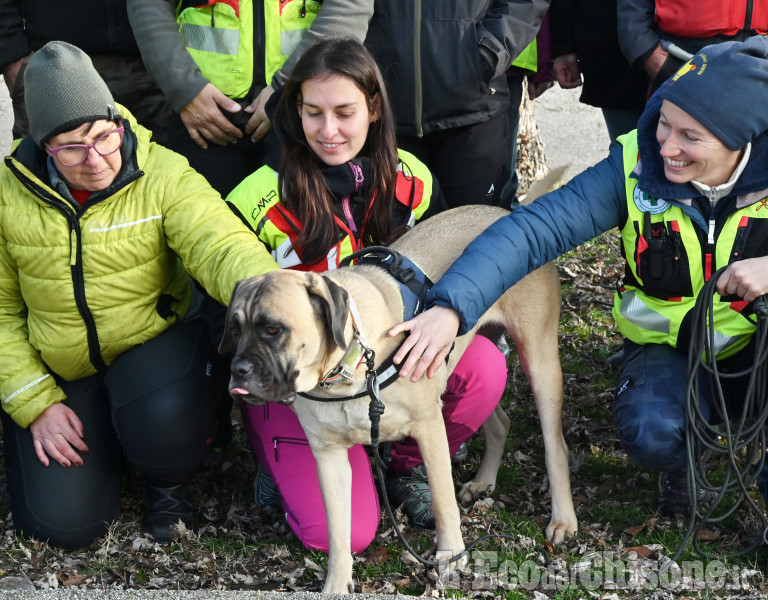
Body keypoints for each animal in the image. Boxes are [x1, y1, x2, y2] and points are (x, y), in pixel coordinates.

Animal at [219, 204, 580, 592]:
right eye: (234, 329)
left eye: (273, 329)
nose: (237, 371)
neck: (346, 372)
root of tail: (508, 211)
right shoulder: (329, 457)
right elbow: (338, 531)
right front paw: (336, 583)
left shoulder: (430, 427)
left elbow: (442, 500)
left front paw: (450, 555)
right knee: (500, 422)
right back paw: (484, 480)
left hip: (540, 361)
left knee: (556, 445)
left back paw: (563, 519)